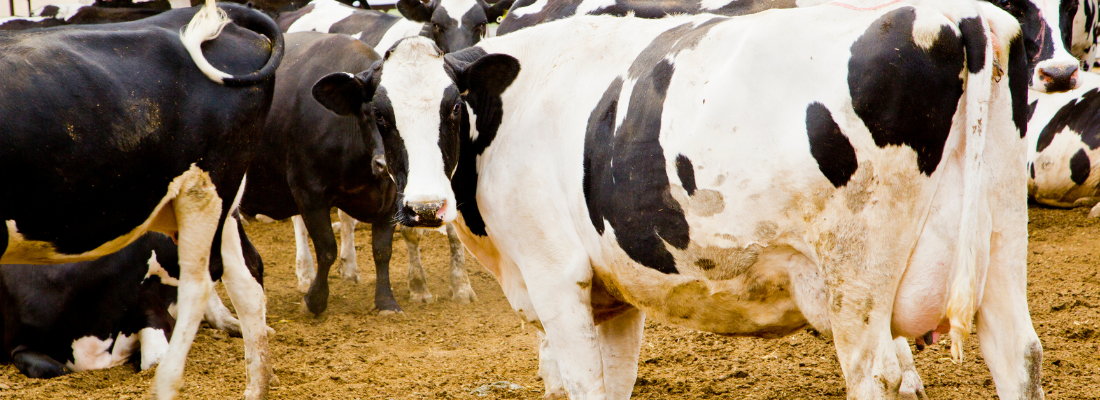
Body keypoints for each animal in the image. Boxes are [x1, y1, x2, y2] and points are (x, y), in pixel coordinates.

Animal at [312, 0, 1038, 397]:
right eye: (378, 114)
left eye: (450, 108)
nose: (422, 207)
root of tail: (956, 15)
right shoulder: (611, 295)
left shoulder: (556, 279)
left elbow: (581, 384)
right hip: (1000, 240)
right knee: (1019, 356)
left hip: (857, 279)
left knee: (878, 374)